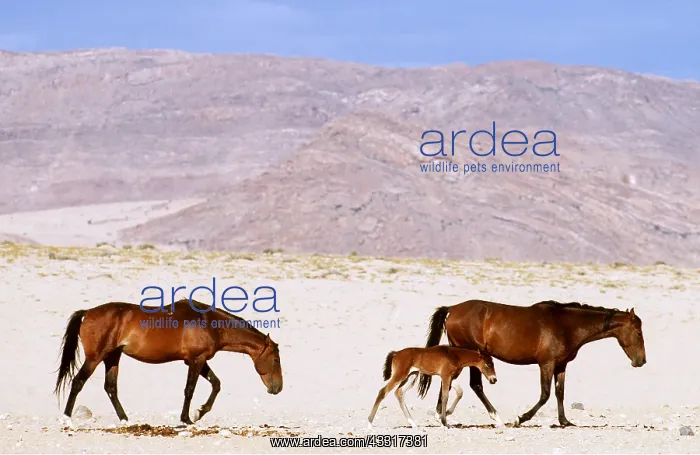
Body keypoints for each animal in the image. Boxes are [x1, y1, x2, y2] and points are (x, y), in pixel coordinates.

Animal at [54, 298, 283, 425]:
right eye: (275, 360)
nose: (277, 388)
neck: (210, 323)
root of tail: (88, 312)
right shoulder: (196, 360)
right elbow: (189, 390)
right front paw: (187, 418)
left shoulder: (197, 360)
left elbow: (216, 384)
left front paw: (199, 413)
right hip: (95, 358)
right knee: (78, 382)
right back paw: (67, 418)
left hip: (112, 357)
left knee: (110, 388)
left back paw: (125, 419)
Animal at [367, 345, 497, 428]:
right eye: (487, 364)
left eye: (493, 363)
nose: (494, 379)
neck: (454, 355)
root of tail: (396, 353)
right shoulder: (445, 375)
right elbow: (445, 396)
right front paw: (444, 422)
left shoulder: (451, 377)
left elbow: (460, 392)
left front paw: (446, 415)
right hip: (400, 375)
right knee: (383, 391)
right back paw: (369, 423)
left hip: (412, 376)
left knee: (399, 393)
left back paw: (413, 423)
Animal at [418, 300, 646, 428]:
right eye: (638, 332)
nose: (641, 361)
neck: (566, 325)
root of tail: (453, 309)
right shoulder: (546, 364)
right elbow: (545, 394)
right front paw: (521, 418)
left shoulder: (561, 366)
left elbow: (560, 393)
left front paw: (564, 421)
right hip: (475, 356)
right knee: (476, 385)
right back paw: (494, 417)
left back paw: (441, 414)